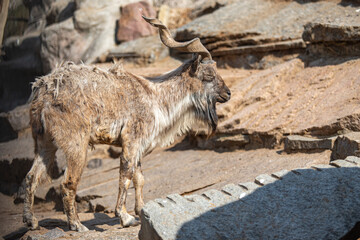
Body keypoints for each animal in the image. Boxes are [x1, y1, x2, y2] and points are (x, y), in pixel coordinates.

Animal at [23, 15, 231, 232]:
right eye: (209, 75)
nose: (228, 93)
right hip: (76, 144)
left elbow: (139, 178)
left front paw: (140, 211)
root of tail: (43, 93)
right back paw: (77, 224)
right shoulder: (131, 141)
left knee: (31, 177)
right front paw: (125, 217)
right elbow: (126, 175)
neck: (156, 97)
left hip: (44, 143)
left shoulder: (139, 147)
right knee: (68, 183)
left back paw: (32, 221)